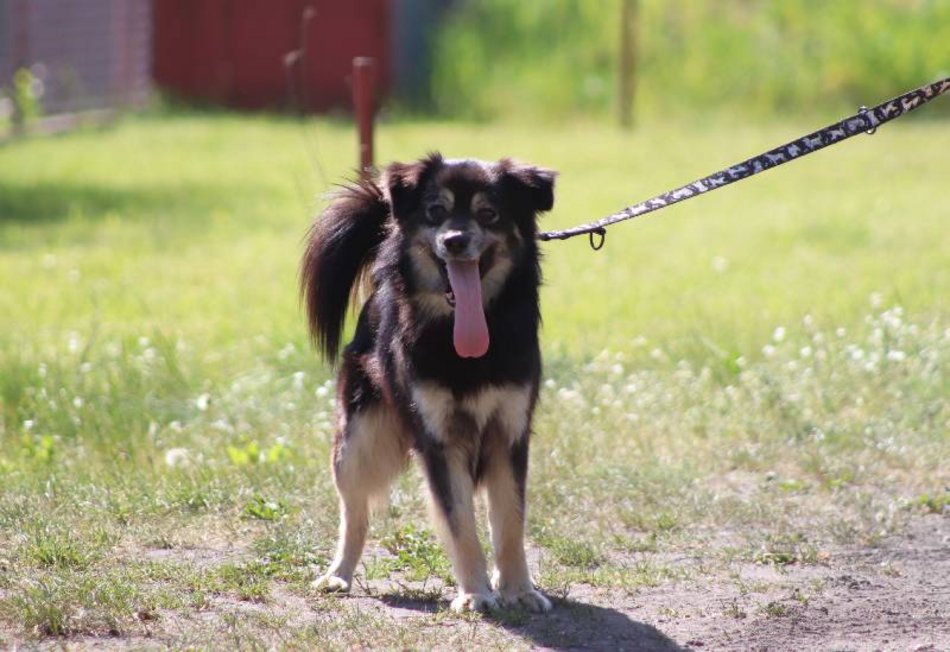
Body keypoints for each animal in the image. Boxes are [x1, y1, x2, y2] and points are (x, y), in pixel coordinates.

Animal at [302, 153, 556, 612]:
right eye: (436, 211)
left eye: (488, 213)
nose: (455, 240)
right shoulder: (439, 439)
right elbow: (460, 524)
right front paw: (475, 594)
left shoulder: (509, 433)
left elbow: (510, 521)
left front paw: (518, 590)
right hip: (356, 442)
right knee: (355, 512)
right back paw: (338, 574)